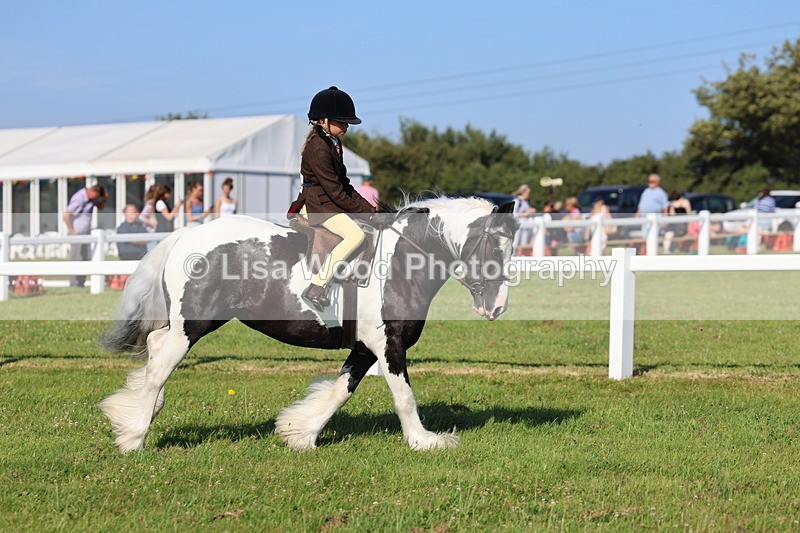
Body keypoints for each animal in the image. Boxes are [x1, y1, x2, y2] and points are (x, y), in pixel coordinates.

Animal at [99, 196, 518, 452]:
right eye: (495, 247)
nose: (497, 306)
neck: (401, 263)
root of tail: (188, 234)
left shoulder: (365, 347)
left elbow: (340, 391)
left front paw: (299, 432)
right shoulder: (389, 344)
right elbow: (403, 396)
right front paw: (423, 441)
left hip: (187, 324)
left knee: (155, 348)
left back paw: (138, 413)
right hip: (194, 324)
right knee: (160, 366)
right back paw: (134, 435)